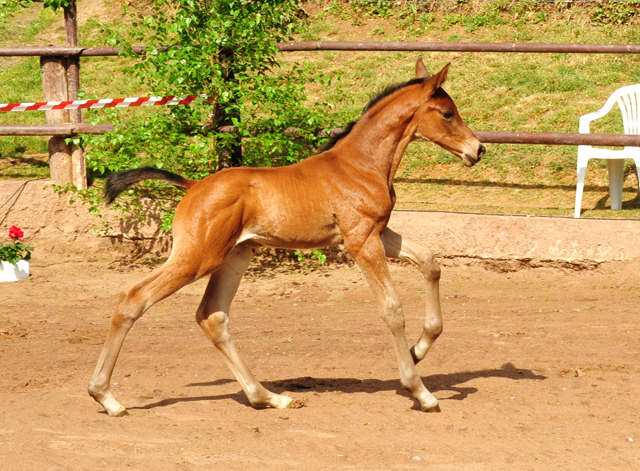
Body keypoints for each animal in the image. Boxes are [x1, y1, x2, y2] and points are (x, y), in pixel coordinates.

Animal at [87, 59, 482, 416]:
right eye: (448, 113)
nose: (478, 150)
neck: (360, 165)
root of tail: (193, 185)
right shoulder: (361, 242)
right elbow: (392, 309)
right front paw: (421, 391)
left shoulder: (377, 233)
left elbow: (430, 261)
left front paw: (420, 348)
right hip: (197, 258)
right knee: (133, 299)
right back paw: (106, 397)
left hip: (235, 256)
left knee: (212, 316)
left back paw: (269, 397)